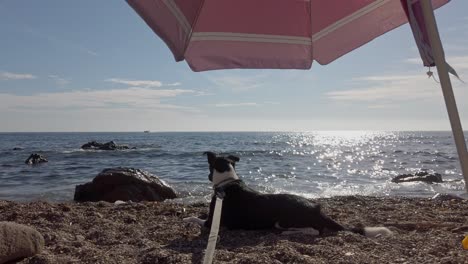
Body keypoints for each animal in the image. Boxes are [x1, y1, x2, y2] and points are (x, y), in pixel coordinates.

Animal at [185, 152, 394, 238]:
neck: (227, 182)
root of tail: (317, 210)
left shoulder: (212, 222)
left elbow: (195, 218)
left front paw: (186, 218)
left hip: (284, 219)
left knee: (316, 230)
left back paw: (289, 232)